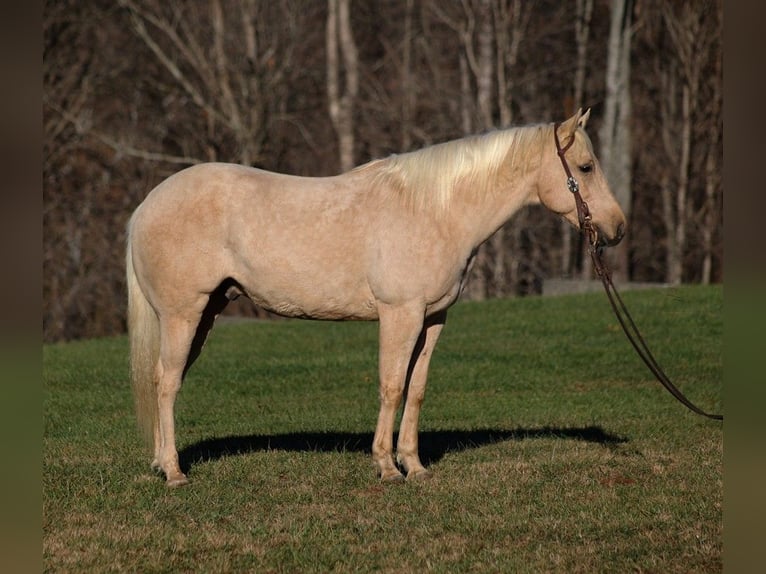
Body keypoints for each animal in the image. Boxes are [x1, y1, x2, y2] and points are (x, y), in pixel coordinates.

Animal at [126, 109, 628, 486]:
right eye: (586, 167)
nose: (618, 228)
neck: (436, 210)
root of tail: (147, 204)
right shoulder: (399, 314)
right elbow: (391, 386)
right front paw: (387, 467)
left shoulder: (433, 318)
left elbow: (416, 389)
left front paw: (415, 465)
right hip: (183, 314)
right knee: (166, 384)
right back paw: (174, 473)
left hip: (204, 314)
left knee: (164, 381)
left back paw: (161, 463)